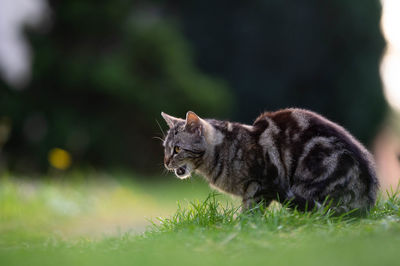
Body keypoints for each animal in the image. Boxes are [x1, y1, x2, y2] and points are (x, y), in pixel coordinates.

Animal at [161, 108, 380, 214]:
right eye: (165, 148)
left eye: (177, 149)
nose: (165, 162)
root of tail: (367, 200)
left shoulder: (261, 185)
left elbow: (250, 213)